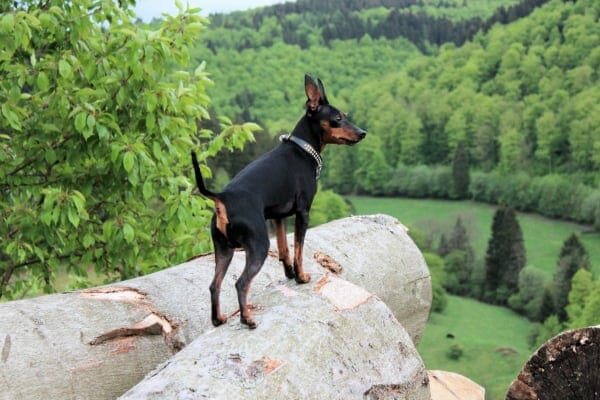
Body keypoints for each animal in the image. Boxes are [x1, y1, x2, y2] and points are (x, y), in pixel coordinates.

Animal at [192, 74, 366, 328]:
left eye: (345, 115)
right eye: (337, 118)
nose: (363, 132)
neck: (303, 149)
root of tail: (222, 197)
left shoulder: (278, 217)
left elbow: (284, 249)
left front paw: (290, 274)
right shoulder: (303, 212)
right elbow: (299, 249)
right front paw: (301, 277)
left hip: (223, 250)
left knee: (214, 285)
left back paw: (218, 319)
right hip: (258, 246)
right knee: (240, 283)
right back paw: (247, 319)